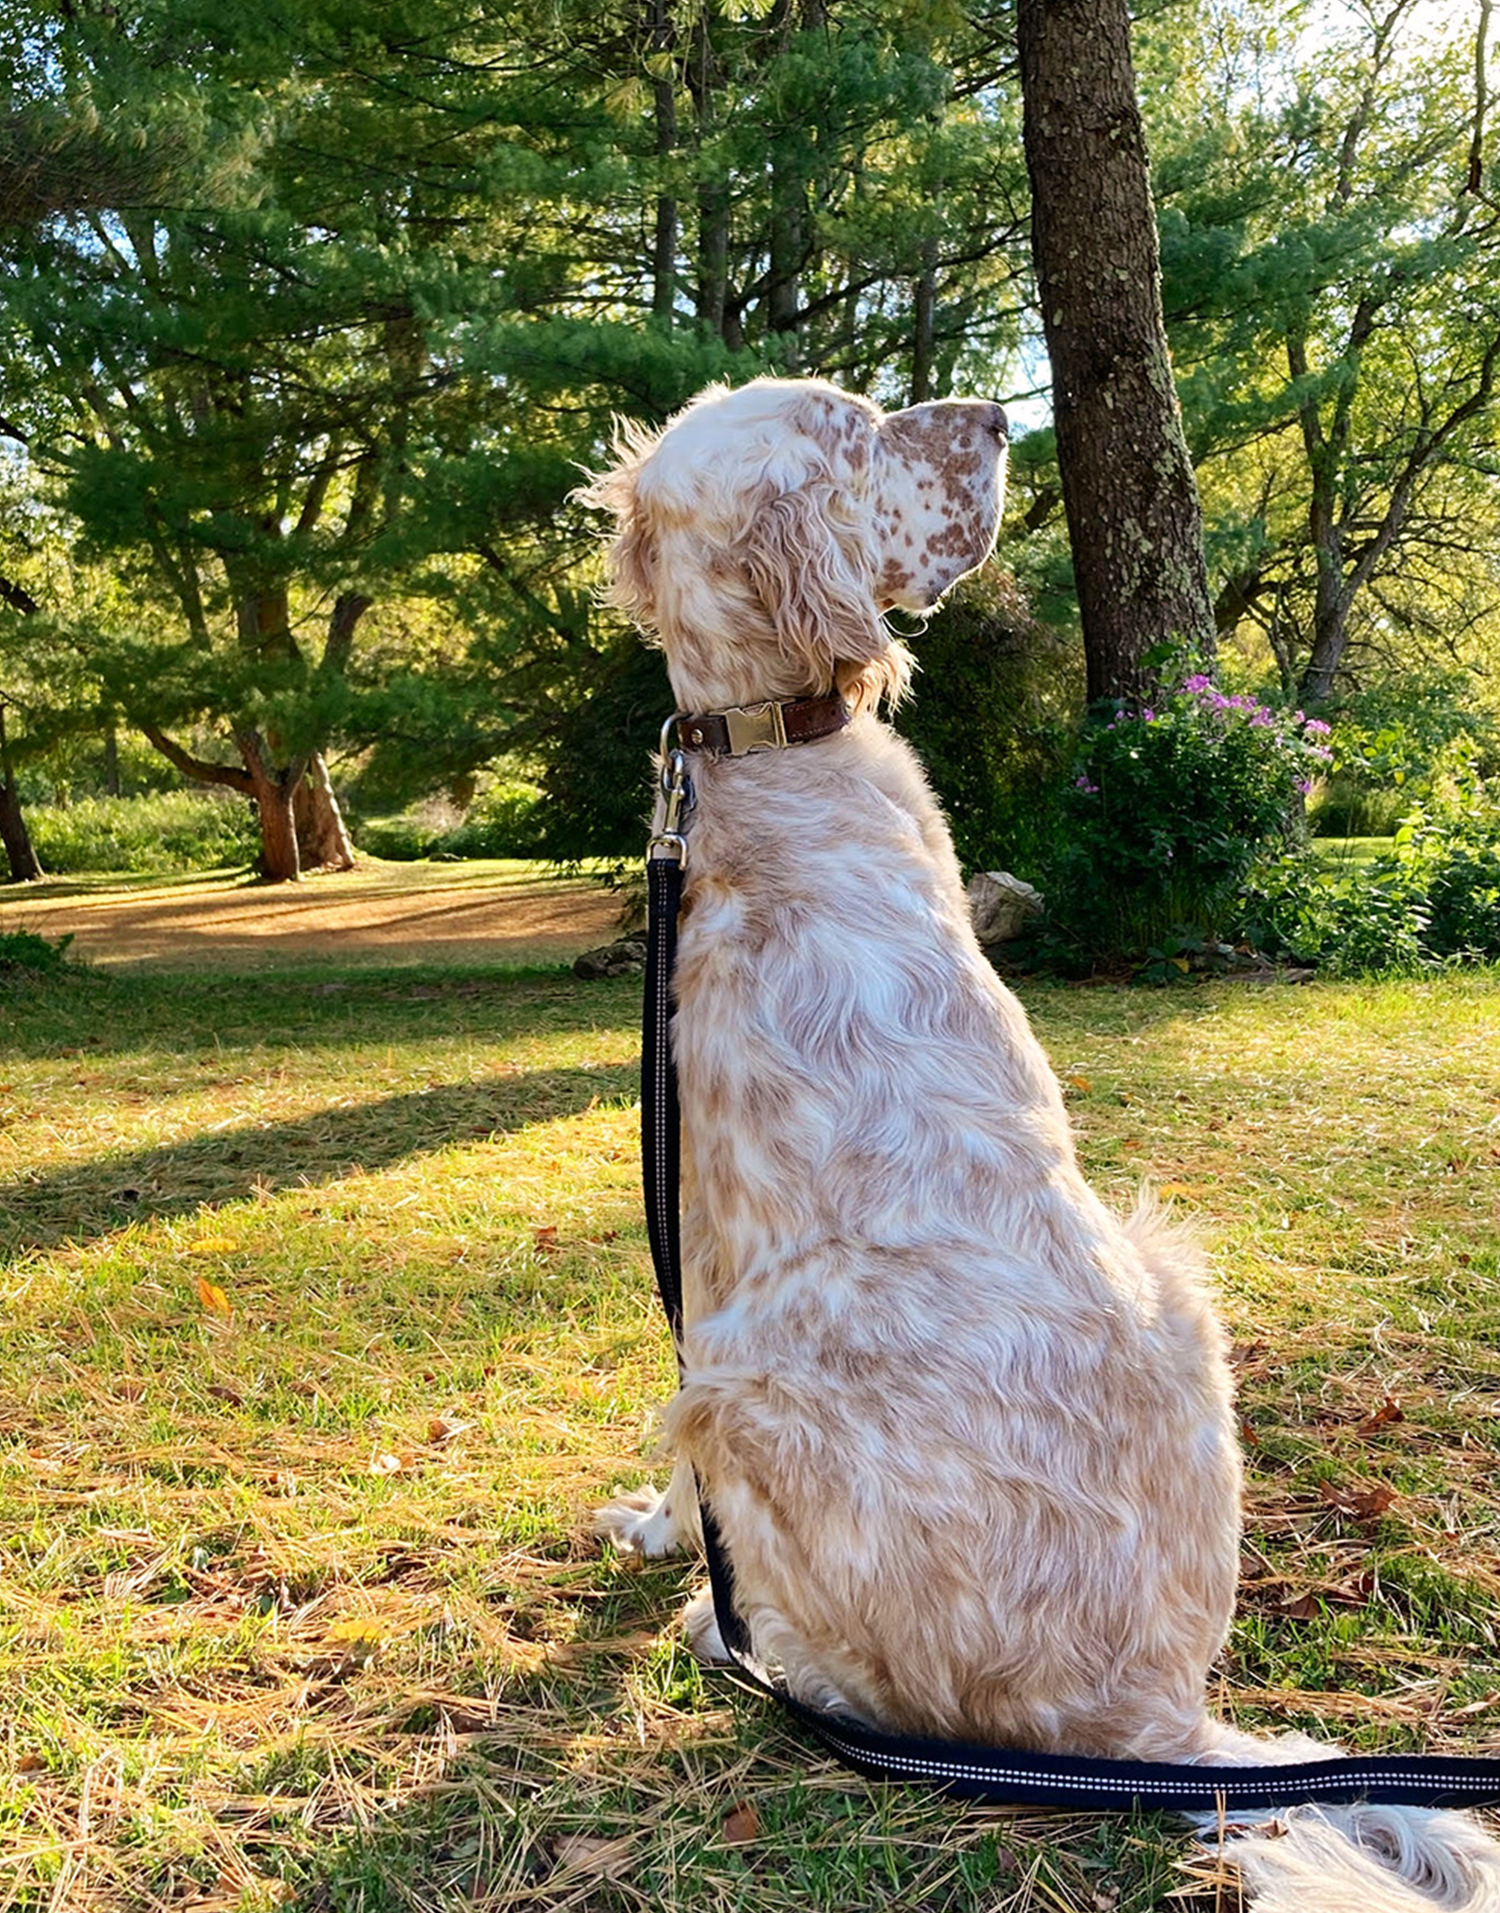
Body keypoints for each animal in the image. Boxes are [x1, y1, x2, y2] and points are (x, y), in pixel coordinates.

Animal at [581, 376, 1500, 1913]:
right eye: (857, 430)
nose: (997, 418)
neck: (770, 742)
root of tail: (1153, 1723)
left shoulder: (705, 1253)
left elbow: (676, 1454)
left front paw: (667, 1547)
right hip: (1172, 1275)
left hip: (756, 1383)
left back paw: (746, 1642)